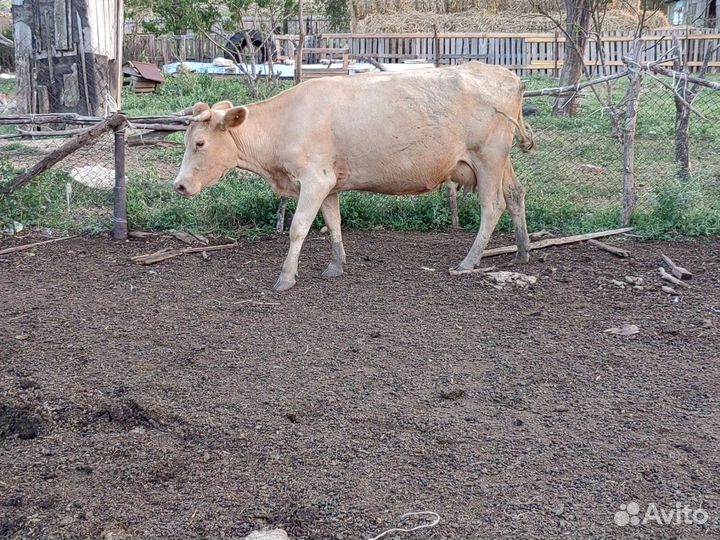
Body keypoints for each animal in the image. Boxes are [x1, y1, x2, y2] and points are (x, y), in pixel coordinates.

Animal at [173, 62, 535, 292]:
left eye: (199, 143)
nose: (179, 185)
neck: (283, 124)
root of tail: (507, 75)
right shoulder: (330, 183)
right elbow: (334, 223)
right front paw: (336, 266)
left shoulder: (314, 180)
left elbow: (298, 228)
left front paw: (285, 278)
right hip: (500, 159)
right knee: (515, 194)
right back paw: (522, 251)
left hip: (487, 157)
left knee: (492, 206)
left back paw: (469, 261)